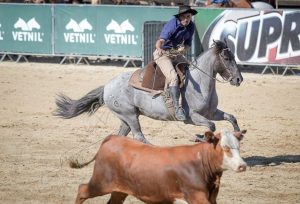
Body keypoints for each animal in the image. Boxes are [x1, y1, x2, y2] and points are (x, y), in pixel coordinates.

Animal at [54, 40, 244, 143]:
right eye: (226, 57)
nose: (238, 79)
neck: (200, 83)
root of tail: (107, 87)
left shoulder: (212, 112)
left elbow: (231, 117)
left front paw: (237, 134)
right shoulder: (192, 118)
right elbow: (211, 126)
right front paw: (200, 137)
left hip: (126, 118)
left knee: (121, 135)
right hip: (130, 115)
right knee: (139, 136)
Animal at [71, 130, 247, 203]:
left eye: (239, 146)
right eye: (226, 148)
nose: (242, 166)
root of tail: (113, 138)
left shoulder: (211, 198)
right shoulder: (196, 196)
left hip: (119, 190)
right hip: (100, 182)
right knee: (82, 190)